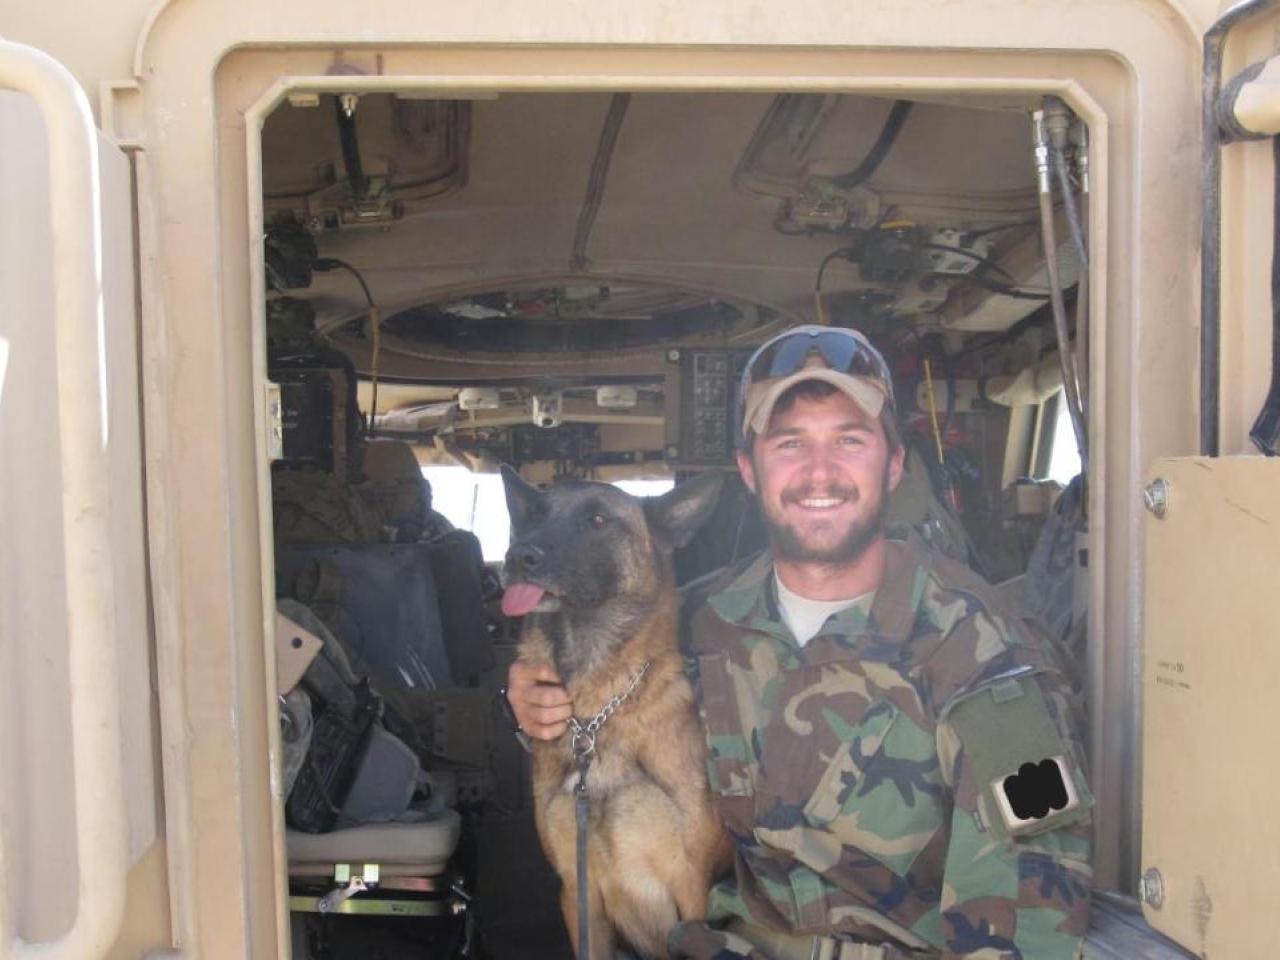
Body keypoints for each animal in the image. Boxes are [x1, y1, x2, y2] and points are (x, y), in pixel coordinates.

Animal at [504, 468, 737, 960]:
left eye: (597, 519)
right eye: (534, 515)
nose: (518, 556)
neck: (596, 713)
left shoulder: (692, 894)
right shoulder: (577, 893)